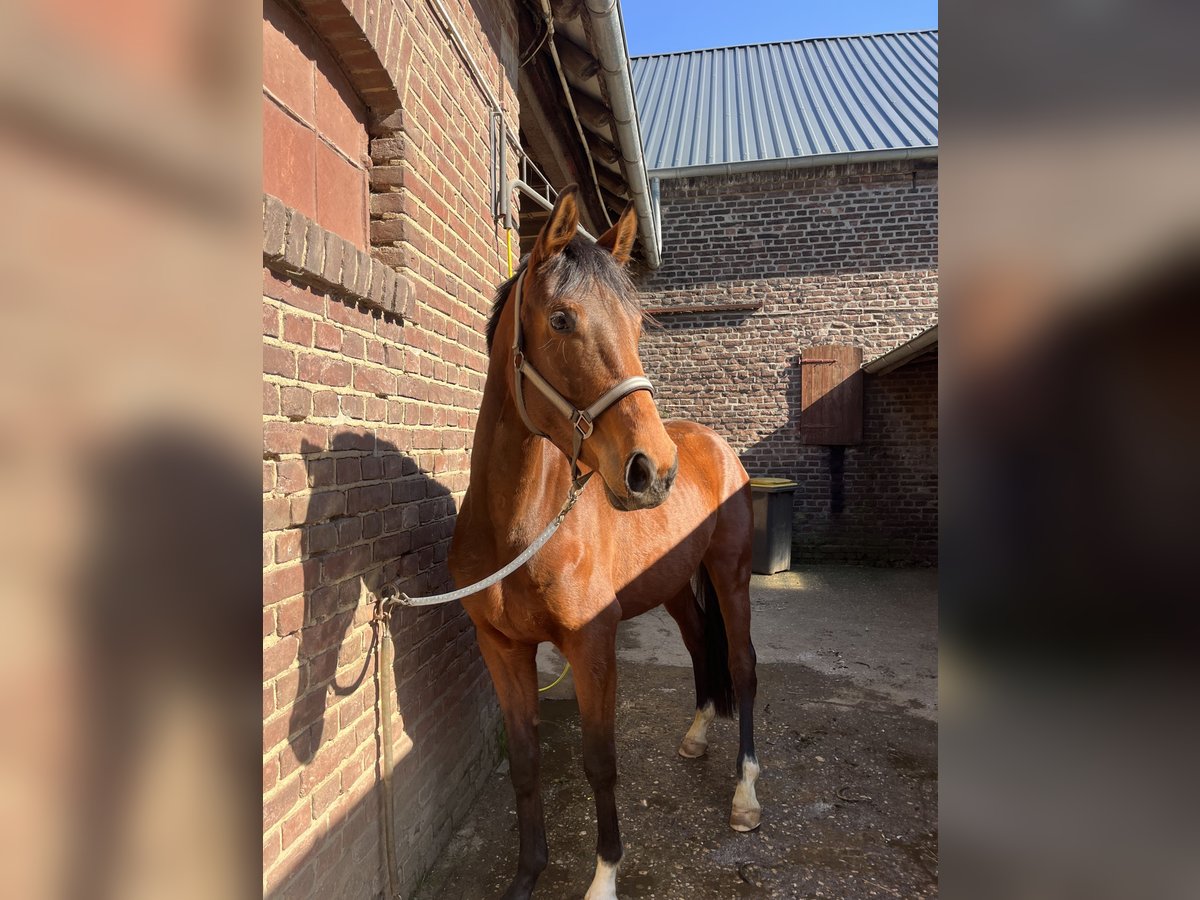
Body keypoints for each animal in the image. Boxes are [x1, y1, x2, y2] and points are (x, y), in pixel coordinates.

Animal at [448, 186, 760, 900]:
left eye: (639, 327)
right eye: (561, 320)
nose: (652, 471)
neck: (519, 530)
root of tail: (711, 443)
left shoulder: (592, 644)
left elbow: (599, 761)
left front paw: (604, 876)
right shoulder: (501, 648)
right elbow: (526, 761)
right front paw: (527, 874)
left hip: (730, 576)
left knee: (743, 666)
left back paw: (746, 796)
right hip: (675, 587)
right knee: (701, 649)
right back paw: (696, 738)